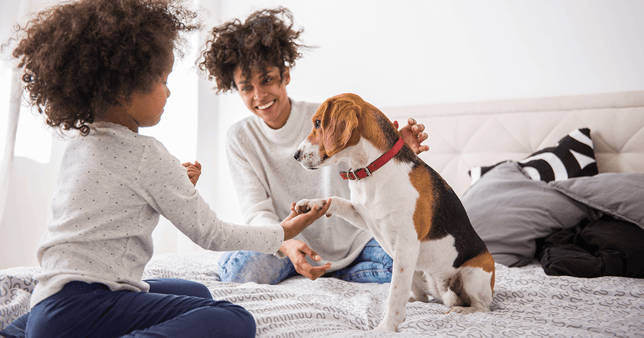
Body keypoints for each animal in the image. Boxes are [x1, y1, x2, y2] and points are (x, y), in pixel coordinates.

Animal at [294, 92, 496, 332]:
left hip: (471, 272)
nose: (295, 155)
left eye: (317, 123)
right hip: (416, 271)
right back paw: (416, 300)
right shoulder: (364, 216)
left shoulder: (405, 246)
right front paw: (312, 203)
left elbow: (395, 295)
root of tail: (442, 290)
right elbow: (336, 200)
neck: (371, 169)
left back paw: (461, 310)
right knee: (422, 298)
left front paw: (385, 328)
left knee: (482, 307)